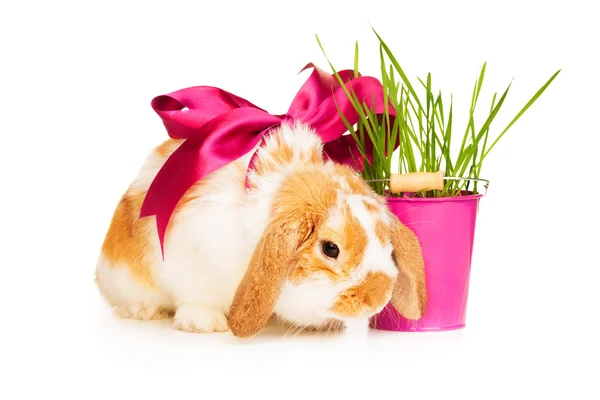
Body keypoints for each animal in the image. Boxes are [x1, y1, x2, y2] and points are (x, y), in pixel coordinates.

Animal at [95, 122, 426, 338]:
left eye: (385, 242)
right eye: (330, 248)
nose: (376, 298)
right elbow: (197, 298)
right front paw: (205, 324)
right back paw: (144, 311)